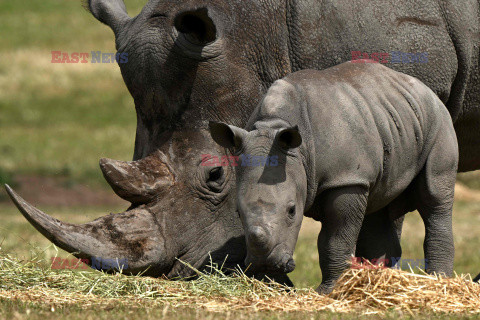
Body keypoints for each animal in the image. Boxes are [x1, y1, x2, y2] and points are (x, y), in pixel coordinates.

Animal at [208, 61, 460, 294]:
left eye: (292, 211)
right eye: (238, 213)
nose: (265, 264)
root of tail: (425, 89)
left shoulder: (346, 179)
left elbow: (335, 239)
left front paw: (329, 291)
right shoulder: (351, 177)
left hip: (438, 121)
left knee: (434, 196)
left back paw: (439, 283)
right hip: (390, 119)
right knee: (378, 207)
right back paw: (379, 280)